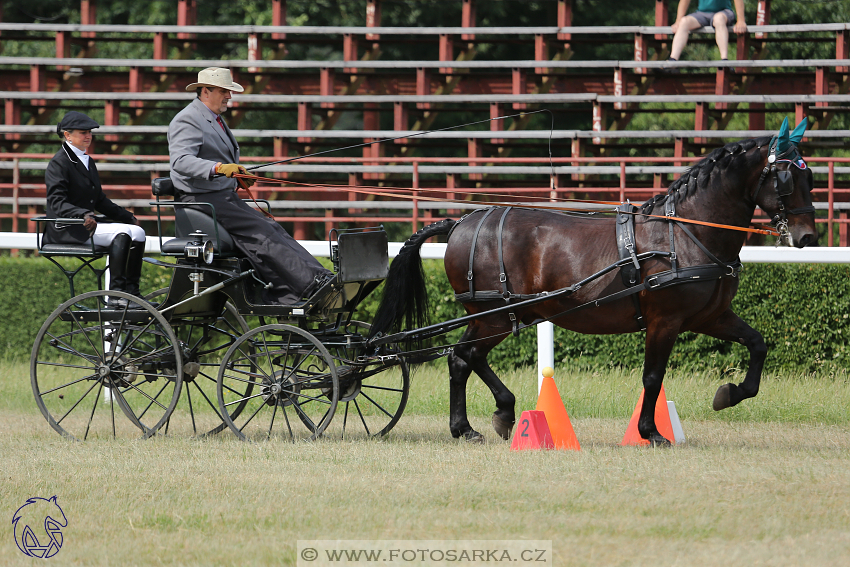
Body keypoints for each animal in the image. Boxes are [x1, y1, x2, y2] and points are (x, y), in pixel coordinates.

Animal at [370, 124, 816, 448]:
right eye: (786, 179)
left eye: (809, 176)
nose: (807, 236)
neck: (686, 232)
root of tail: (460, 222)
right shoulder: (665, 321)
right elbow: (652, 377)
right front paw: (651, 432)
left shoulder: (711, 317)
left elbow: (757, 345)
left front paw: (730, 394)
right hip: (493, 316)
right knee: (462, 356)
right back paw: (481, 420)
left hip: (503, 315)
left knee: (464, 358)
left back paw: (486, 419)